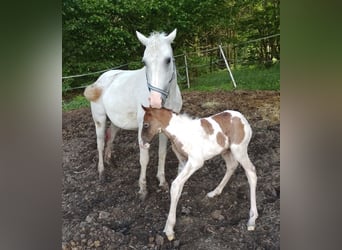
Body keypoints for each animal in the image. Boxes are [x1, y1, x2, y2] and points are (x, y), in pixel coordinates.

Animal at [84, 29, 183, 198]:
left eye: (168, 60)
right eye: (144, 62)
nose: (154, 102)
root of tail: (100, 79)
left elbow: (162, 153)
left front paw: (162, 181)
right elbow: (144, 158)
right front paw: (143, 188)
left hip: (116, 121)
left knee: (110, 136)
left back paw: (109, 160)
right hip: (100, 119)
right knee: (100, 143)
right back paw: (102, 171)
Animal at [140, 105, 258, 240]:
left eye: (146, 125)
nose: (143, 144)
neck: (180, 132)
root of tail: (242, 118)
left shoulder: (196, 161)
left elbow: (175, 185)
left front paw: (169, 229)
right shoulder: (183, 161)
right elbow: (178, 188)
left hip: (239, 150)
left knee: (251, 172)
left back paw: (252, 219)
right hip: (225, 150)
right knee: (232, 166)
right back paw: (215, 192)